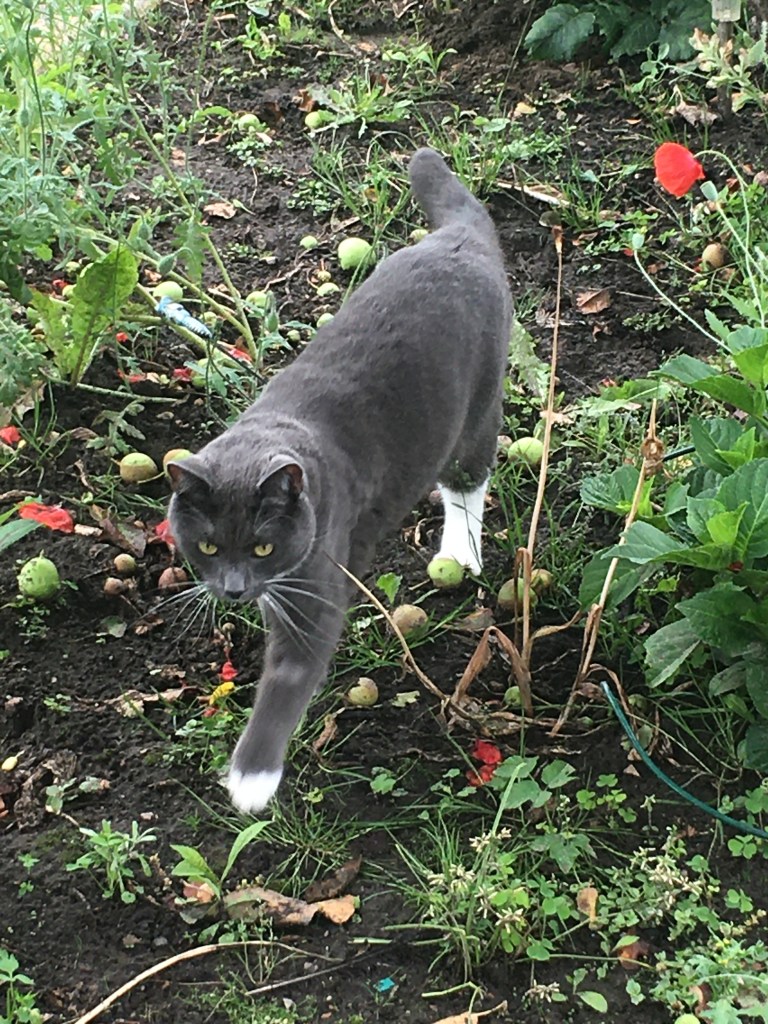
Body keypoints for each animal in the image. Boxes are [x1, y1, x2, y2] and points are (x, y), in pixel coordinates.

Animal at [167, 147, 512, 815]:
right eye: (208, 545)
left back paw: (461, 550)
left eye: (263, 547)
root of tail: (459, 236)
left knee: (468, 476)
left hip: (479, 403)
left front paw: (251, 778)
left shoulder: (317, 576)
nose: (234, 590)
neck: (270, 432)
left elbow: (292, 671)